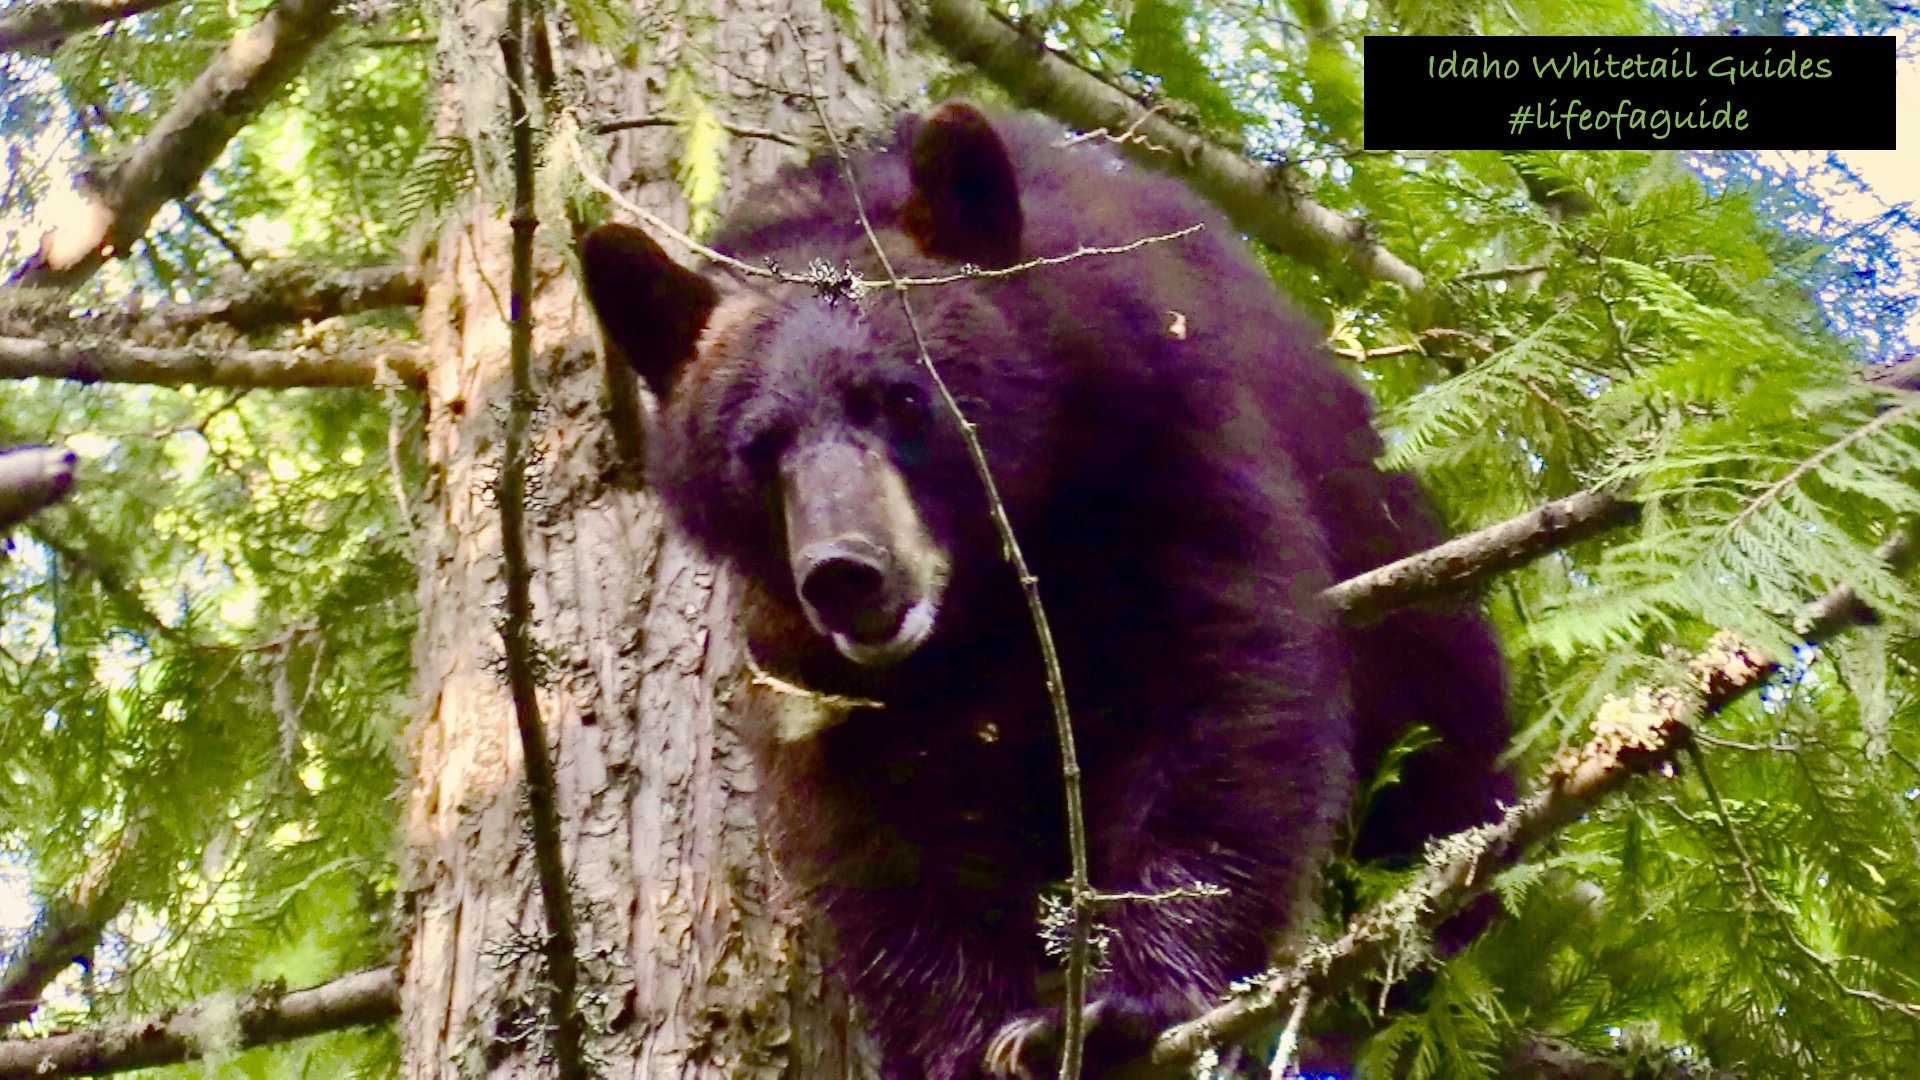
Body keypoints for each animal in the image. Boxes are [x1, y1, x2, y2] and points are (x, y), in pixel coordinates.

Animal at [579, 102, 1510, 1078]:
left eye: (903, 400)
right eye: (759, 448)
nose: (845, 572)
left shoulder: (1164, 429)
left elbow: (1224, 686)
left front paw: (1129, 997)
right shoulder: (801, 654)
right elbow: (875, 824)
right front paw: (967, 1036)